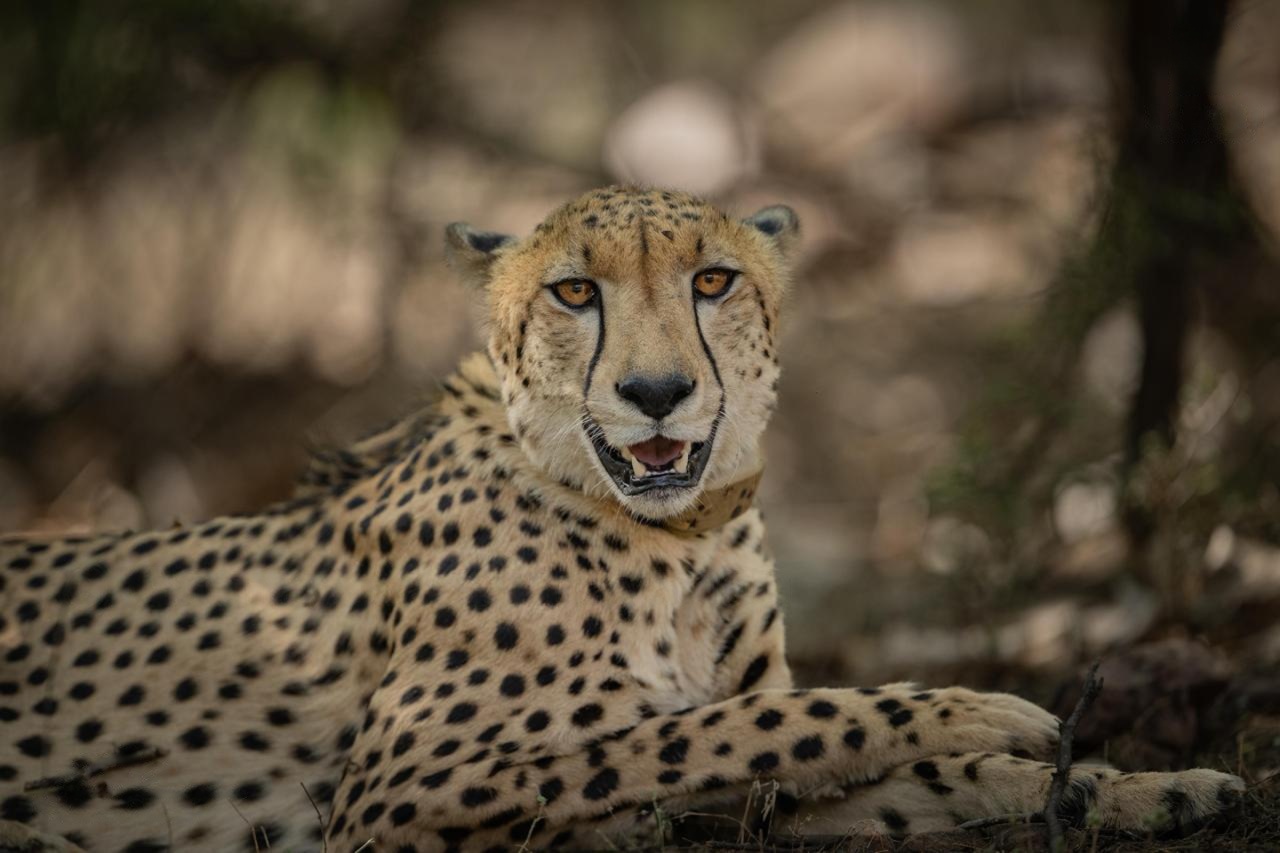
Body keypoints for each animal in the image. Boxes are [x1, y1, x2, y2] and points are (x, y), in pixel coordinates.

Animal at [0, 186, 1244, 852]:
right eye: (572, 292)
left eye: (711, 281)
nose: (655, 393)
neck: (680, 537)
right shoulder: (396, 793)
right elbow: (734, 724)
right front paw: (988, 708)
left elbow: (834, 753)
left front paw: (1149, 785)